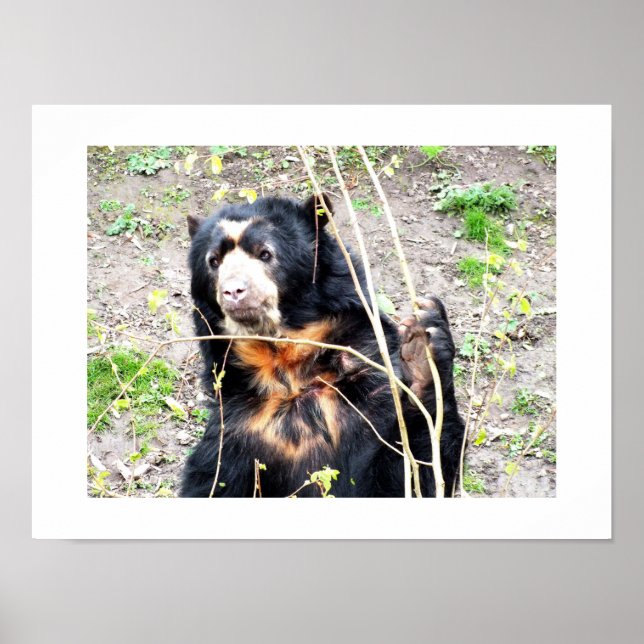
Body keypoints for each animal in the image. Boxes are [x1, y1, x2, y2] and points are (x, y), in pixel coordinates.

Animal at [180, 193, 465, 497]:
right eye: (214, 261)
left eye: (265, 253)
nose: (233, 291)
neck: (286, 364)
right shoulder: (238, 427)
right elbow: (211, 483)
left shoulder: (371, 393)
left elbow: (408, 474)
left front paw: (423, 346)